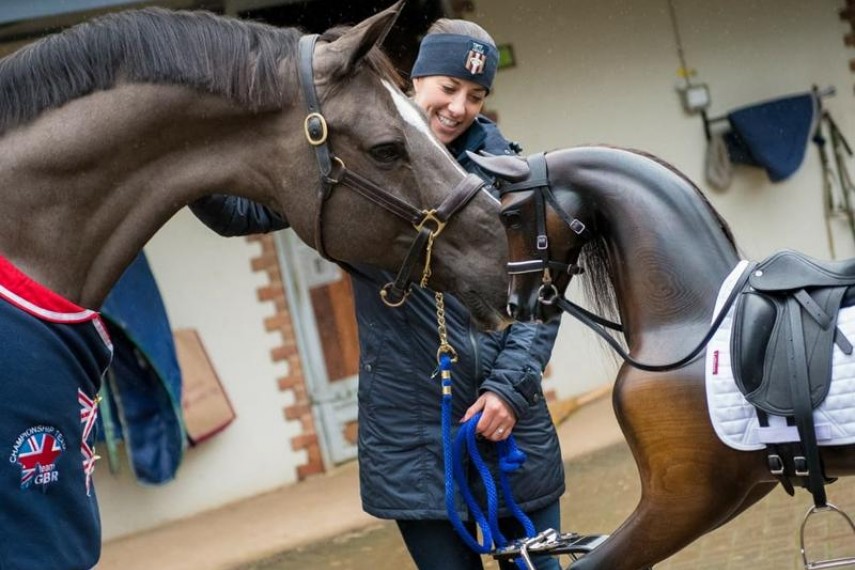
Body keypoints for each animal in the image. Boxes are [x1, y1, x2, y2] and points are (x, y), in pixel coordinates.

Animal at [467, 146, 855, 570]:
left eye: (509, 216)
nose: (514, 305)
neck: (690, 322)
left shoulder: (684, 495)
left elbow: (590, 562)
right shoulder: (739, 486)